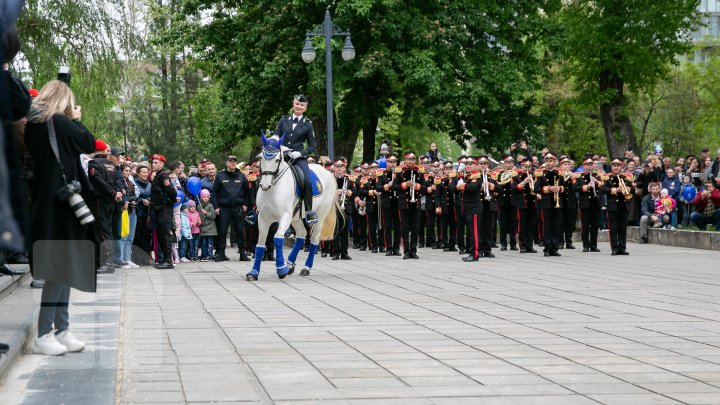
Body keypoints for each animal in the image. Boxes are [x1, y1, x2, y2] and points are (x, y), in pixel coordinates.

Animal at [245, 133, 340, 280]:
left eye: (277, 159)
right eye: (261, 158)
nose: (264, 185)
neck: (273, 188)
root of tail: (328, 173)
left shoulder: (285, 217)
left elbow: (277, 238)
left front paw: (281, 269)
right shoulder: (263, 218)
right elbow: (260, 245)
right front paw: (253, 272)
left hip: (319, 217)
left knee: (314, 239)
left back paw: (305, 268)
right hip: (295, 218)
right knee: (302, 235)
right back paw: (290, 264)